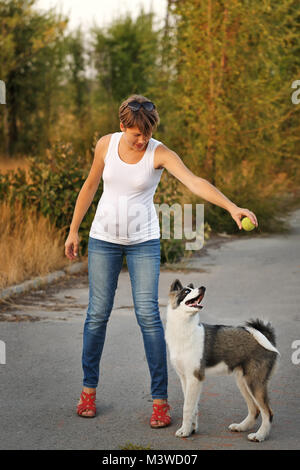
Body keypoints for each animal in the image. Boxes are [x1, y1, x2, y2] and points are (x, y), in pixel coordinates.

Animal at [164, 280, 278, 442]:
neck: (185, 329)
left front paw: (184, 431)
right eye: (186, 291)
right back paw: (241, 427)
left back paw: (259, 435)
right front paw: (191, 429)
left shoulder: (195, 378)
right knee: (255, 409)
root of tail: (266, 336)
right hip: (243, 381)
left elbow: (187, 407)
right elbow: (193, 407)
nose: (202, 288)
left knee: (267, 412)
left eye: (192, 289)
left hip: (254, 382)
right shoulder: (186, 379)